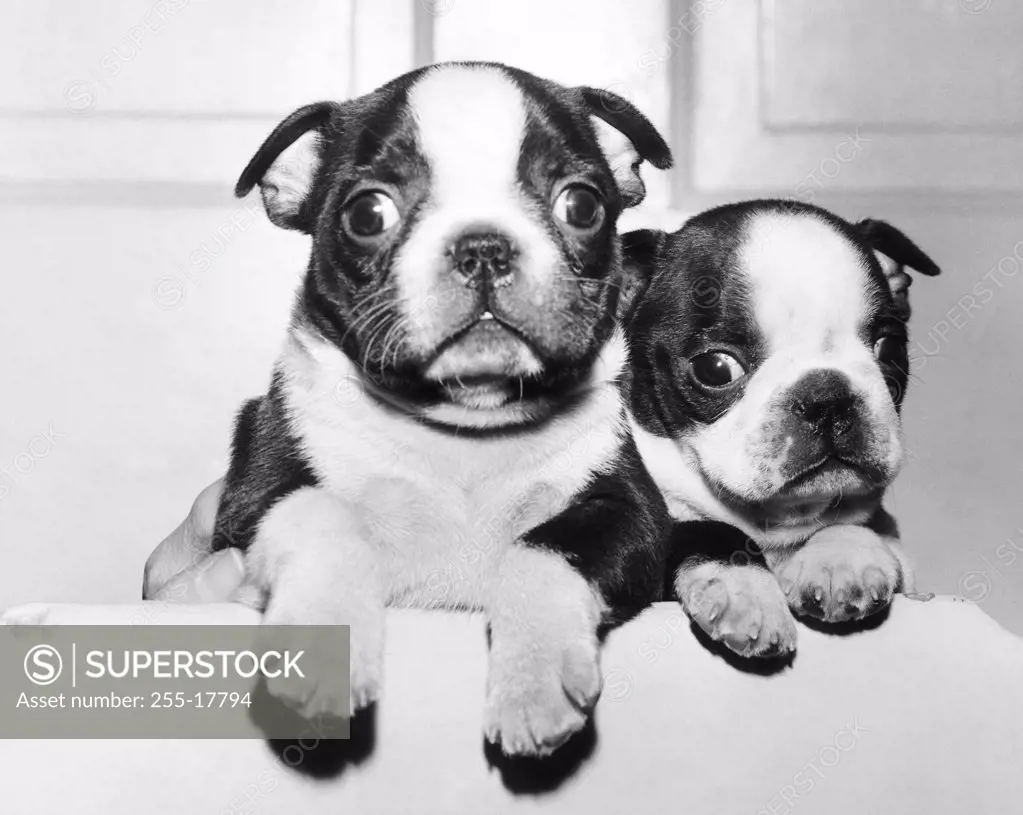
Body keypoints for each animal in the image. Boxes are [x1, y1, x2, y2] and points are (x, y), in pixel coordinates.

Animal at [209, 63, 671, 756]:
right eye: (367, 213)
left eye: (582, 205)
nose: (483, 247)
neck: (464, 427)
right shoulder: (254, 494)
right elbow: (322, 512)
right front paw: (324, 646)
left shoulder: (629, 512)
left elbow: (542, 548)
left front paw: (532, 681)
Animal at [617, 200, 937, 658]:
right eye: (715, 368)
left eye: (889, 348)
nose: (827, 398)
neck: (777, 525)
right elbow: (707, 530)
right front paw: (746, 593)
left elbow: (857, 521)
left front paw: (839, 559)